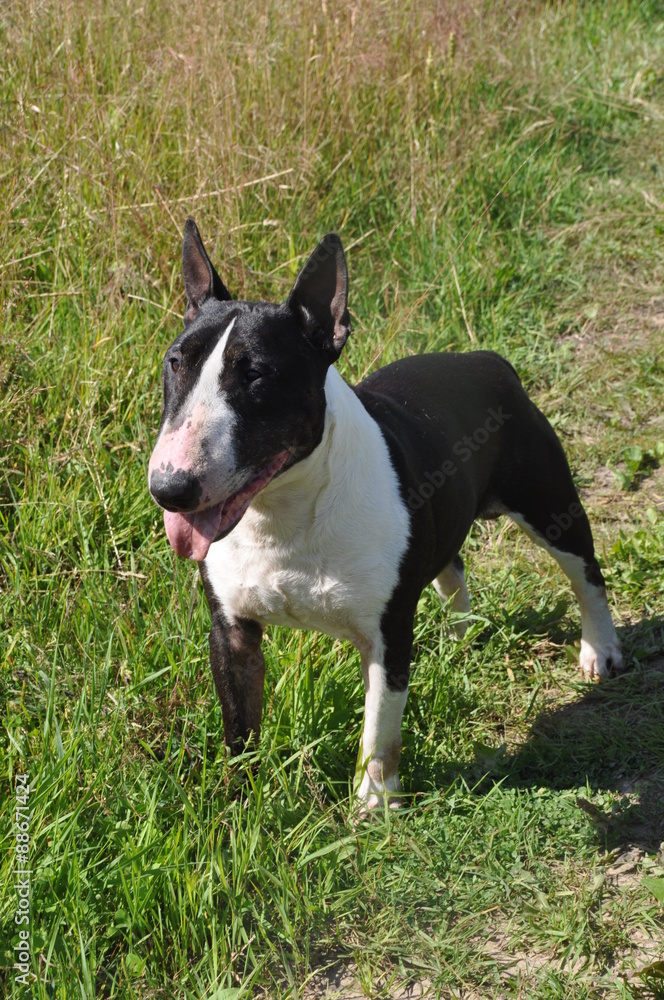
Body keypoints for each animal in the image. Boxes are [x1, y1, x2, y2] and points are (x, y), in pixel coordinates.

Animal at [149, 221, 624, 812]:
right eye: (176, 362)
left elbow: (379, 728)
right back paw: (460, 636)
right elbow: (240, 724)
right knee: (452, 565)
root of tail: (486, 360)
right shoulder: (232, 631)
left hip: (548, 503)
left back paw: (600, 651)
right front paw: (239, 799)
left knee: (585, 573)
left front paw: (374, 804)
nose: (169, 489)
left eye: (255, 374)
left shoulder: (387, 634)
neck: (283, 513)